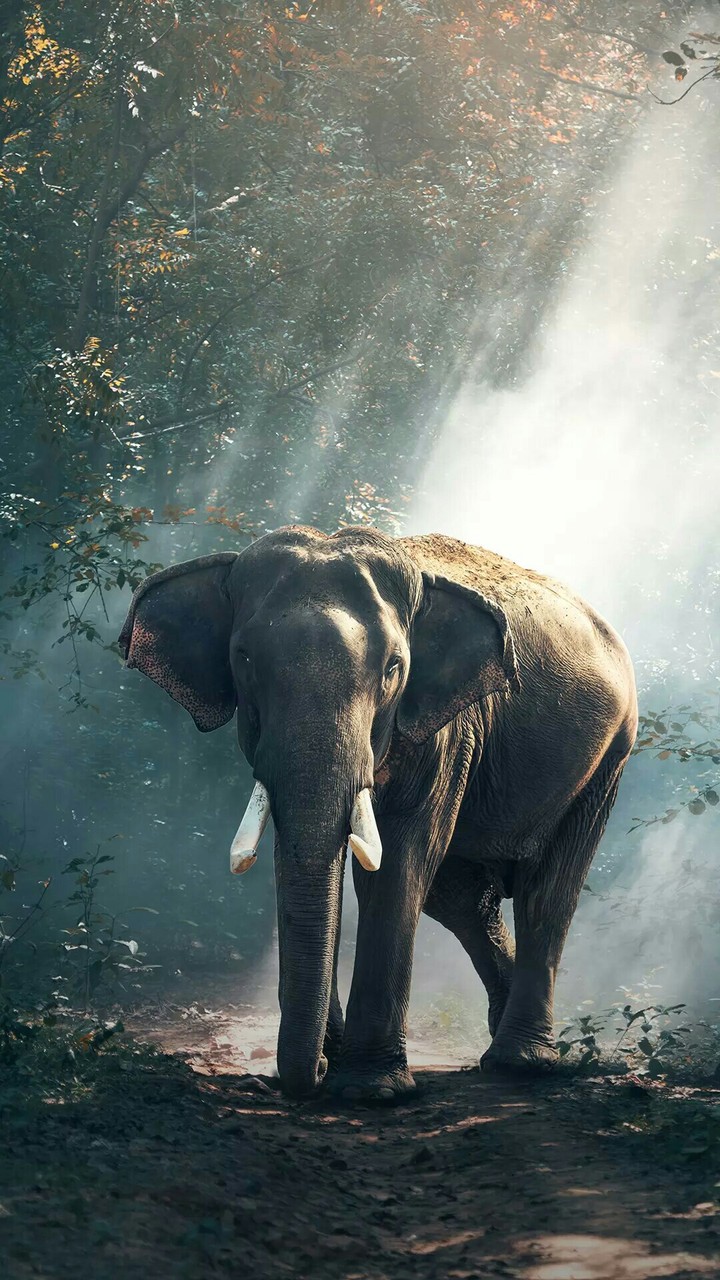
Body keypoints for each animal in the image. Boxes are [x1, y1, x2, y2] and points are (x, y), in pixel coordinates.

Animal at [118, 526, 637, 1101]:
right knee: (461, 898)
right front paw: (336, 1062)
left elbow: (399, 861)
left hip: (609, 757)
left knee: (547, 891)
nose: (313, 1073)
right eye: (244, 659)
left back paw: (520, 1063)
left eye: (393, 668)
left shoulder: (447, 730)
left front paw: (371, 1090)